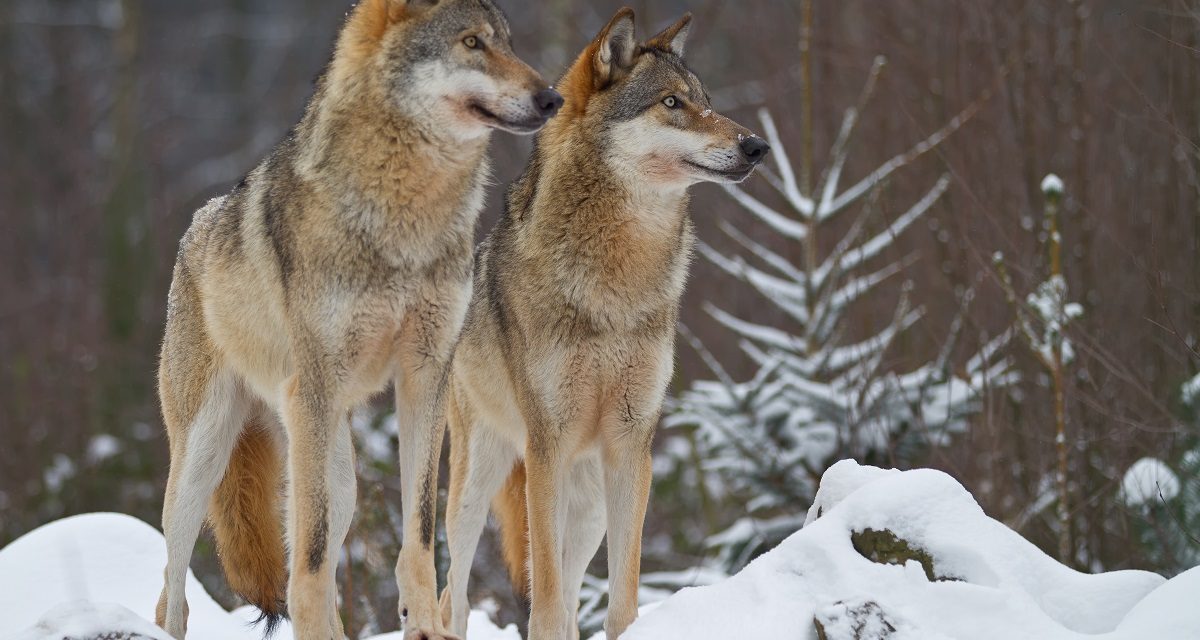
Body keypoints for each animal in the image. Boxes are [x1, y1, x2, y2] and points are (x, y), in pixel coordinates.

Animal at [153, 1, 561, 638]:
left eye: (509, 44)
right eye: (471, 43)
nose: (552, 98)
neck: (405, 218)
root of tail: (195, 226)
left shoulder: (427, 377)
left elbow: (418, 534)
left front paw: (425, 623)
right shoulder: (315, 387)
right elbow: (312, 559)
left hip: (333, 470)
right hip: (207, 456)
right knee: (175, 584)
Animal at [434, 8, 769, 640]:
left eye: (706, 102)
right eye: (671, 103)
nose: (757, 145)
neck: (618, 281)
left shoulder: (633, 448)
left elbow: (620, 596)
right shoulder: (547, 448)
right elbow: (541, 602)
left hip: (587, 506)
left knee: (568, 600)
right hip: (477, 482)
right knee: (453, 595)